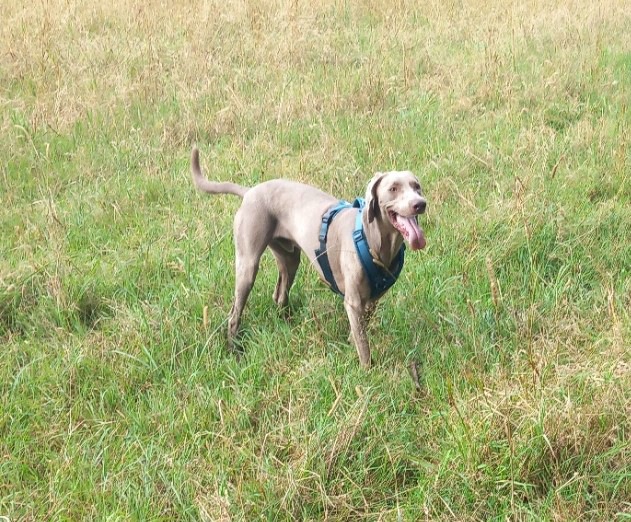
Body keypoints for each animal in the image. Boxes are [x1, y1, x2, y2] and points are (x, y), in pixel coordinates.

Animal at [191, 146, 430, 366]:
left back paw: (285, 324)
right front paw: (367, 371)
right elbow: (363, 345)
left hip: (289, 258)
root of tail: (250, 191)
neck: (375, 241)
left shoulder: (370, 302)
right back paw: (234, 348)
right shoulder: (353, 302)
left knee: (279, 294)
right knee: (235, 313)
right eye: (393, 188)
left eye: (416, 186)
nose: (420, 203)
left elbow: (357, 334)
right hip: (248, 264)